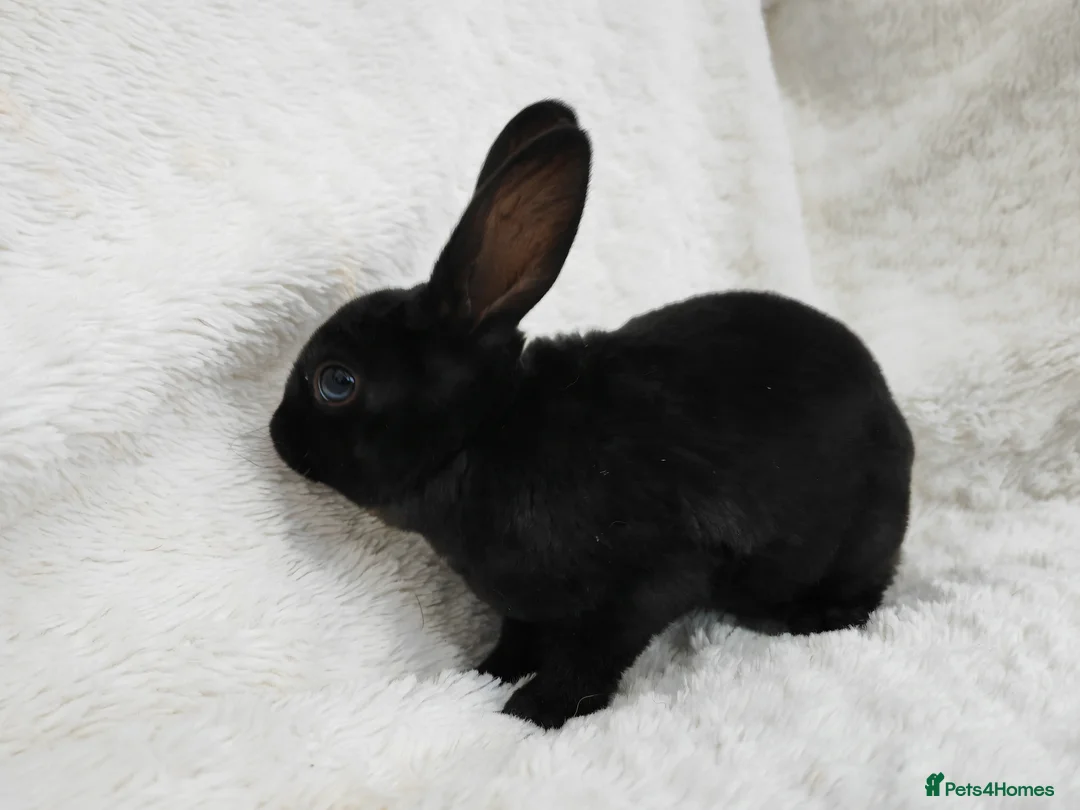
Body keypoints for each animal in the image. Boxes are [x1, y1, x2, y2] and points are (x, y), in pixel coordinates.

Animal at [269, 100, 915, 730]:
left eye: (336, 382)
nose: (276, 433)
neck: (486, 434)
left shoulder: (652, 579)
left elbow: (591, 655)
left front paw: (534, 711)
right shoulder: (525, 607)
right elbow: (520, 636)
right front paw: (488, 673)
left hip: (856, 542)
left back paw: (811, 619)